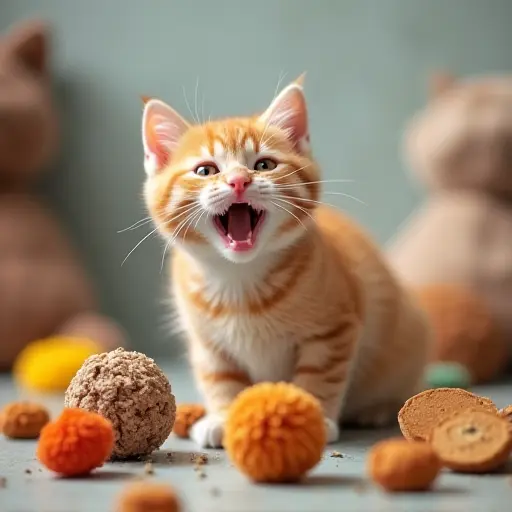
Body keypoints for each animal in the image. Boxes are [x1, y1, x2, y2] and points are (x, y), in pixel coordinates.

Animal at [141, 77, 432, 448]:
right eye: (205, 170)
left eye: (264, 165)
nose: (239, 181)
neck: (240, 281)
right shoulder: (208, 343)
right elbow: (222, 378)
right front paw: (223, 416)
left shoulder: (334, 329)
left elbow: (319, 374)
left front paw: (312, 414)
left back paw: (379, 408)